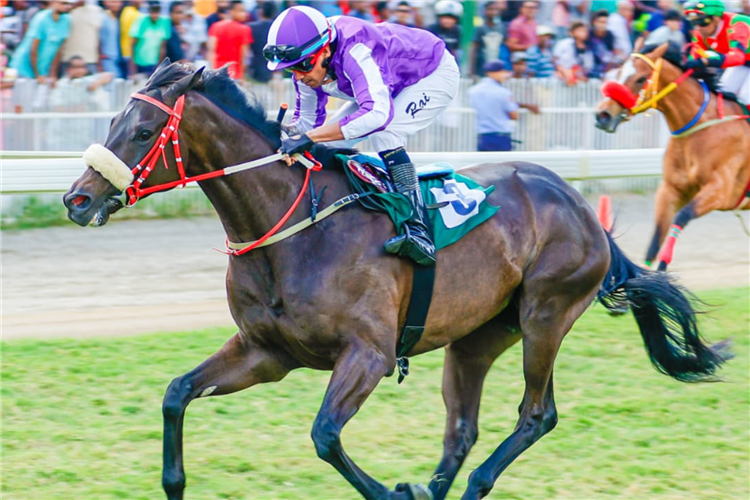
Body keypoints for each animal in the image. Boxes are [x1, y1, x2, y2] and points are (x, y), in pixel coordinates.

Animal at [63, 61, 729, 500]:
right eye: (115, 119)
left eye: (143, 133)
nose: (77, 198)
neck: (291, 228)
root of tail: (580, 205)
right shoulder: (266, 352)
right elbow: (176, 393)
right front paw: (174, 481)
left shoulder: (369, 353)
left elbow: (325, 435)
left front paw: (393, 492)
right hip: (478, 336)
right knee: (461, 427)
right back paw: (442, 485)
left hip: (546, 312)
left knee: (536, 414)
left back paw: (470, 484)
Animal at [596, 42, 750, 271]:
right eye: (619, 72)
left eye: (641, 78)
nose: (603, 116)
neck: (700, 128)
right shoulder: (670, 189)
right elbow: (655, 240)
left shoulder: (720, 191)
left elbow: (681, 216)